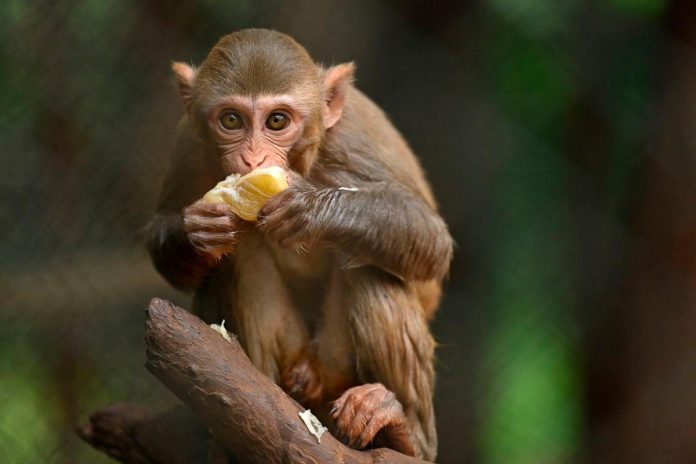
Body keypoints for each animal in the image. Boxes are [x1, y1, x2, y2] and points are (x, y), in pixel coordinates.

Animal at [147, 29, 453, 461]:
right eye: (231, 120)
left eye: (277, 120)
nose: (253, 159)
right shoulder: (188, 142)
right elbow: (168, 238)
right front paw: (195, 233)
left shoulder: (350, 139)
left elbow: (431, 240)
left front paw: (311, 208)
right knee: (238, 258)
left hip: (336, 364)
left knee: (372, 269)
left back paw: (404, 432)